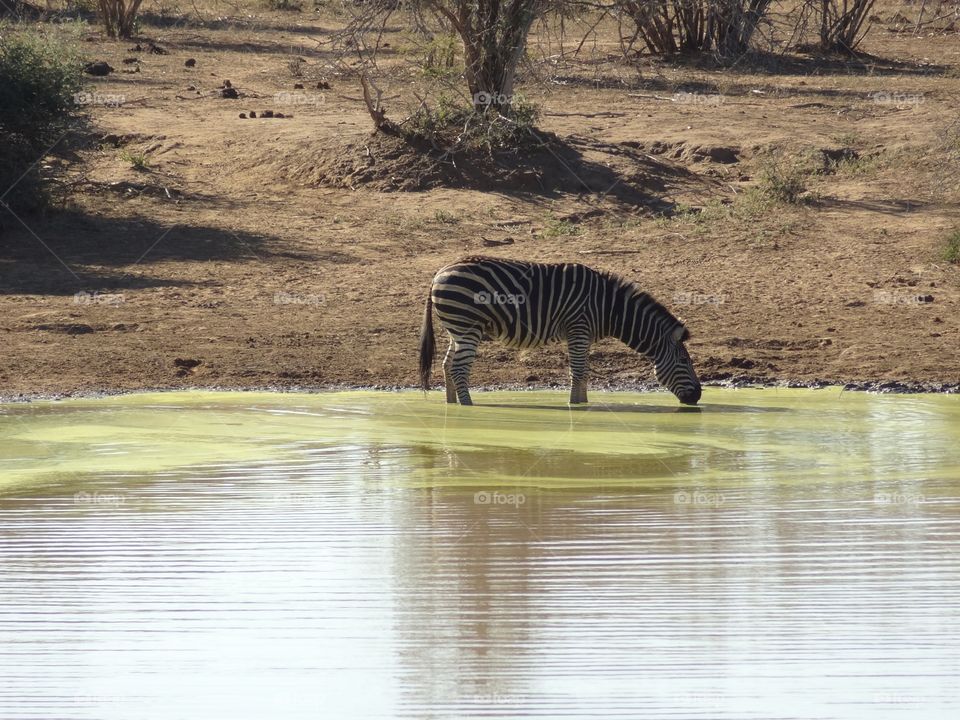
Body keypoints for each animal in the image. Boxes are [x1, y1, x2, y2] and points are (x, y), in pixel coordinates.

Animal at [416, 258, 700, 404]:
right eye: (684, 361)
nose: (697, 397)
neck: (610, 308)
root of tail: (439, 272)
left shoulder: (584, 335)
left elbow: (584, 371)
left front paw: (583, 403)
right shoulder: (578, 328)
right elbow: (579, 371)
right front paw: (575, 405)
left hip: (457, 328)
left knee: (447, 364)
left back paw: (452, 404)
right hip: (467, 326)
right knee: (458, 368)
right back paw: (468, 407)